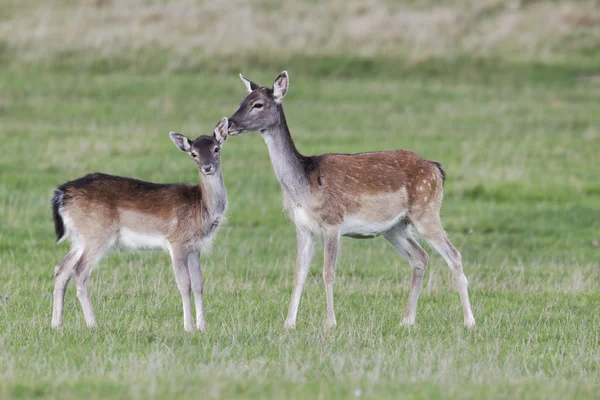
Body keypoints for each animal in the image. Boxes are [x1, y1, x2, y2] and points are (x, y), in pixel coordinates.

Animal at [49, 117, 230, 332]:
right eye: (194, 153)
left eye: (216, 148)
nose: (207, 167)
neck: (201, 207)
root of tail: (62, 194)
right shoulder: (176, 241)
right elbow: (184, 284)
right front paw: (188, 327)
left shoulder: (195, 246)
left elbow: (198, 283)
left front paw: (203, 327)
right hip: (98, 233)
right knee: (79, 271)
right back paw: (93, 324)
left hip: (79, 237)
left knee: (61, 268)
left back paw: (56, 324)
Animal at [227, 71, 476, 328]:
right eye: (241, 101)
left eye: (258, 104)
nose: (229, 124)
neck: (304, 185)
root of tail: (438, 169)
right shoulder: (302, 227)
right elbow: (299, 273)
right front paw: (288, 323)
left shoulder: (333, 222)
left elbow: (328, 272)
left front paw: (330, 323)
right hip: (395, 227)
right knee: (420, 257)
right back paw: (407, 320)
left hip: (426, 210)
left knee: (454, 255)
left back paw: (469, 321)